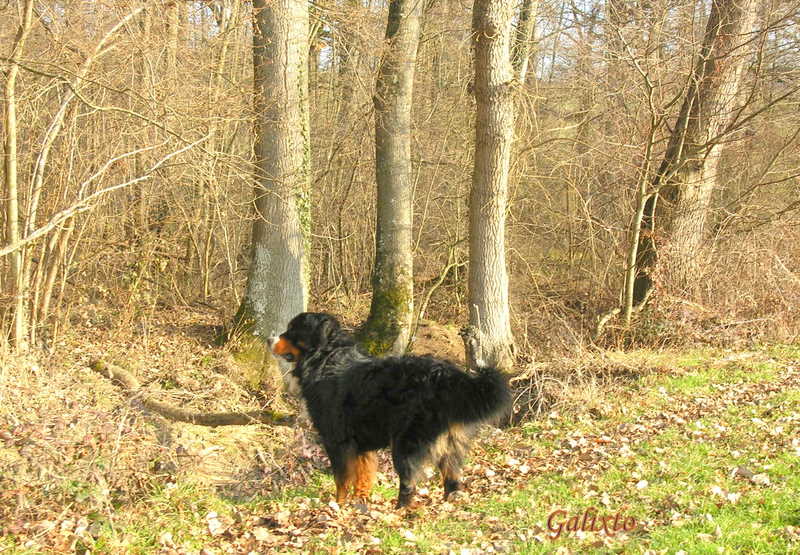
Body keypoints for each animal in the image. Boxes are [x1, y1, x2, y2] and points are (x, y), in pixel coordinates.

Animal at [271, 312, 511, 508]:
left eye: (291, 331)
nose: (269, 339)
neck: (324, 357)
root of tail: (446, 376)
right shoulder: (361, 445)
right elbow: (363, 476)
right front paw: (360, 503)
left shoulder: (336, 440)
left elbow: (342, 479)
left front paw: (338, 506)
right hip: (451, 443)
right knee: (452, 480)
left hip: (406, 444)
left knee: (409, 483)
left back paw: (400, 511)